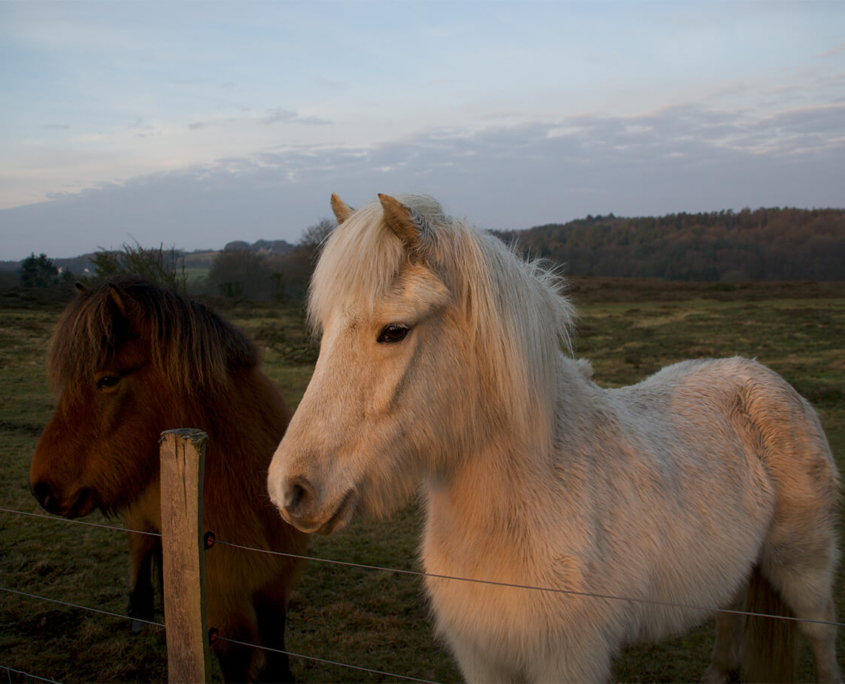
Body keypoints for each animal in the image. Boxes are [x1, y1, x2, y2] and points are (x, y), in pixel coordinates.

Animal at [29, 276, 308, 680]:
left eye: (107, 380)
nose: (42, 489)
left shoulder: (275, 584)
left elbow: (275, 648)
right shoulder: (224, 597)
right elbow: (235, 657)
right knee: (140, 545)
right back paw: (139, 610)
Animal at [268, 194, 840, 684]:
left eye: (394, 331)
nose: (287, 490)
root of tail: (762, 375)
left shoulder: (568, 660)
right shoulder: (484, 660)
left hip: (804, 564)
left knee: (821, 633)